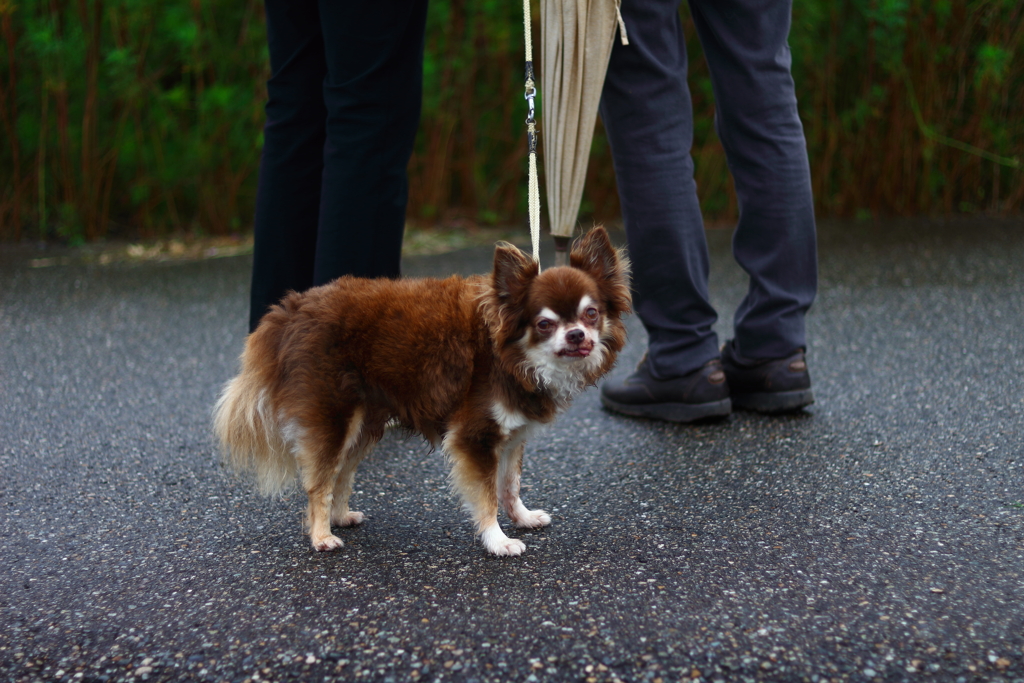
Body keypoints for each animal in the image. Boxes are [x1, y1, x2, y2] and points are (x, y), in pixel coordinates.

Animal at [215, 227, 626, 557]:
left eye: (591, 314)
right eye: (544, 324)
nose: (577, 335)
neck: (512, 356)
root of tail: (291, 309)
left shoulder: (512, 435)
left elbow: (510, 485)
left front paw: (522, 518)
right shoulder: (475, 437)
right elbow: (487, 496)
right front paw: (498, 541)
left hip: (364, 424)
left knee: (340, 473)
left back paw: (340, 516)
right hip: (334, 419)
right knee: (319, 480)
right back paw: (321, 535)